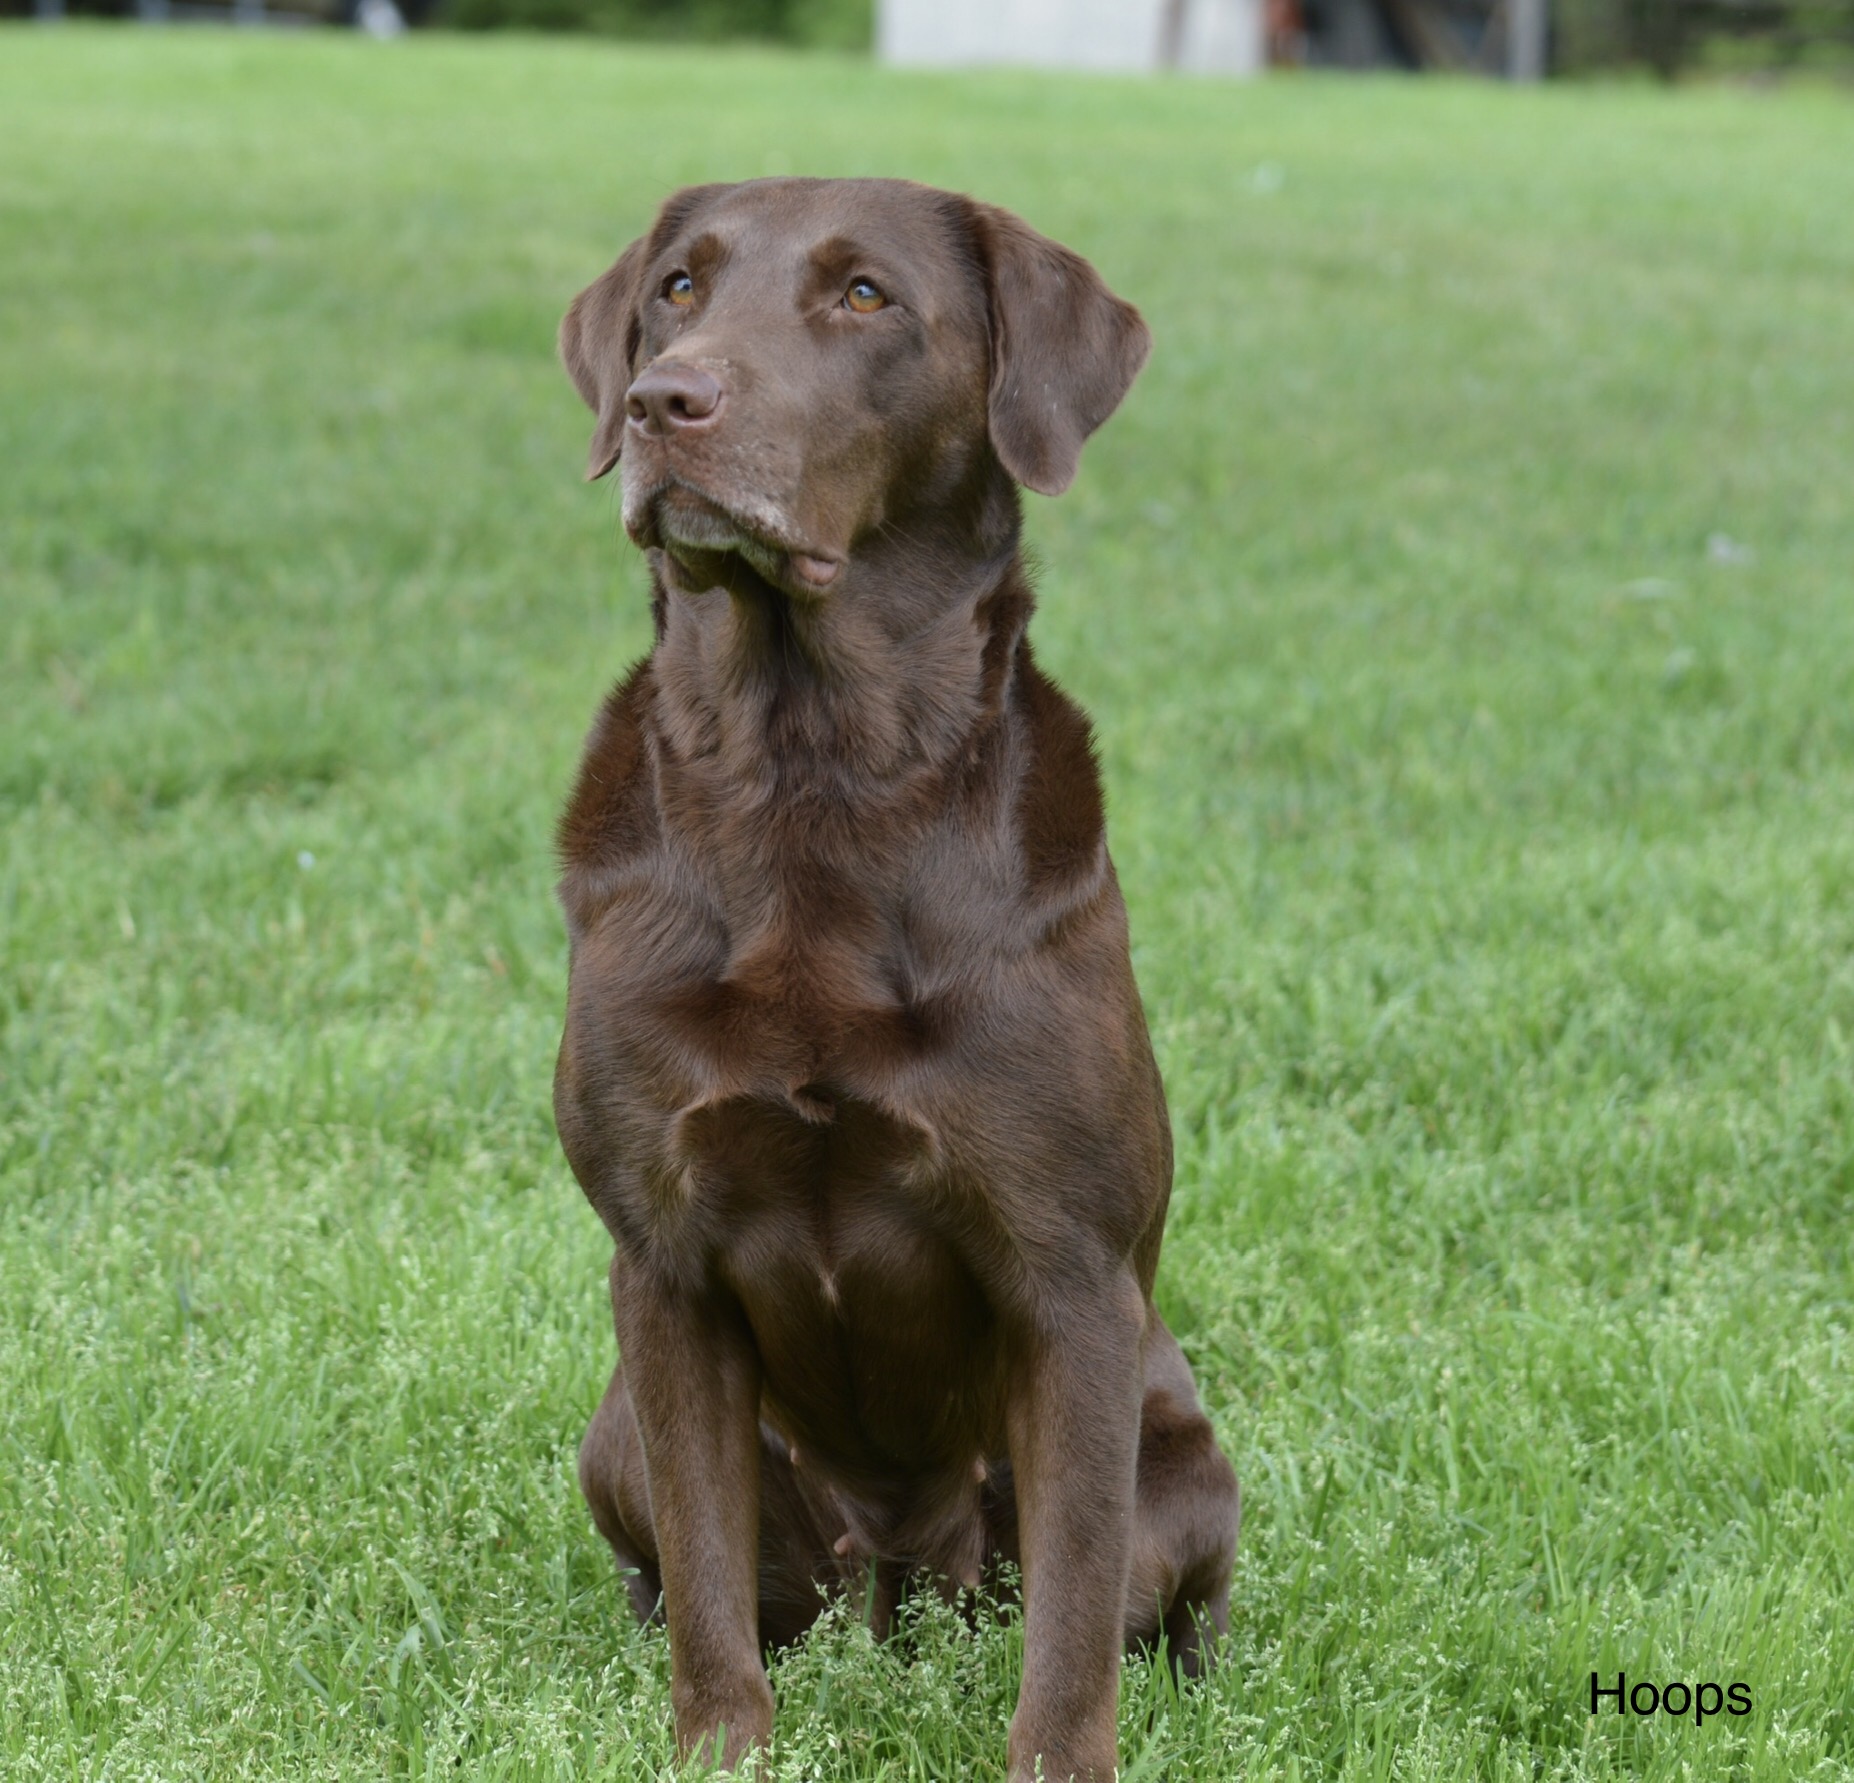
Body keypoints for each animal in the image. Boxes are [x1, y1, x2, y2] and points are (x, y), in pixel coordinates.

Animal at [552, 170, 1245, 1779]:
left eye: (864, 296)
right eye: (676, 290)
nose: (663, 402)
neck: (811, 776)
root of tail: (899, 1584)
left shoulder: (1071, 1279)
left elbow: (1071, 1625)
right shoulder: (661, 1268)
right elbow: (707, 1601)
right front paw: (719, 1748)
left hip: (1184, 1446)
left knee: (1154, 1601)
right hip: (614, 1432)